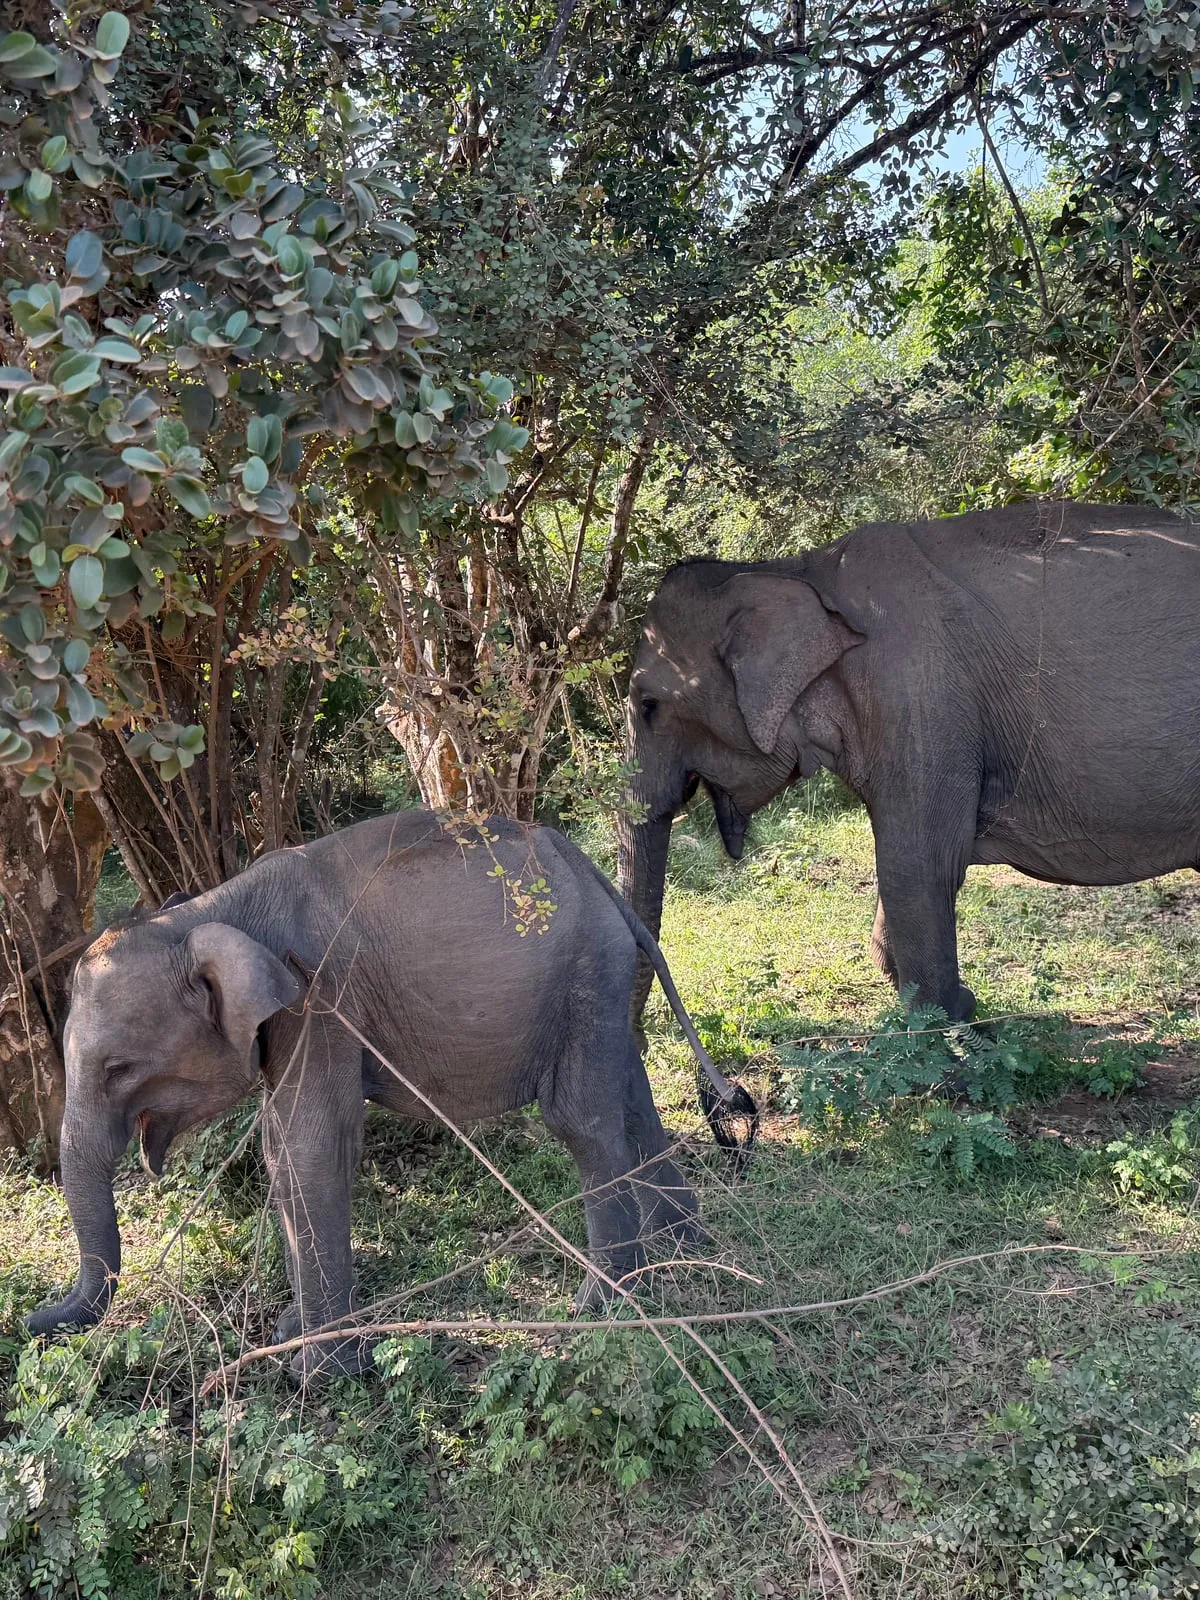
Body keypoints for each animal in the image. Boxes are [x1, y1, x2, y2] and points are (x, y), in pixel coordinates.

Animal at [25, 810, 756, 1382]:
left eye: (119, 1068)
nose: (33, 1320)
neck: (209, 910)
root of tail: (594, 873)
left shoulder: (319, 1000)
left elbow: (310, 1146)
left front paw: (318, 1374)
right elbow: (281, 1152)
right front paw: (291, 1334)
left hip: (583, 972)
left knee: (581, 1120)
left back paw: (604, 1305)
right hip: (599, 981)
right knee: (629, 1092)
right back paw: (683, 1249)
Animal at [619, 500, 1200, 1024]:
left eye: (648, 705)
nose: (643, 1042)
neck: (798, 570)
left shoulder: (920, 697)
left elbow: (917, 861)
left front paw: (950, 1028)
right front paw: (941, 1001)